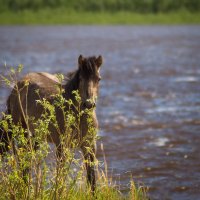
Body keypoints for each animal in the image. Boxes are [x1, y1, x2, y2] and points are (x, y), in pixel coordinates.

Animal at [0, 55, 103, 192]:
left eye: (98, 79)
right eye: (81, 78)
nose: (89, 104)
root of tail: (18, 85)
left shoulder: (90, 147)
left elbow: (92, 181)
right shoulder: (61, 146)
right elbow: (61, 177)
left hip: (36, 137)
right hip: (22, 132)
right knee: (23, 160)